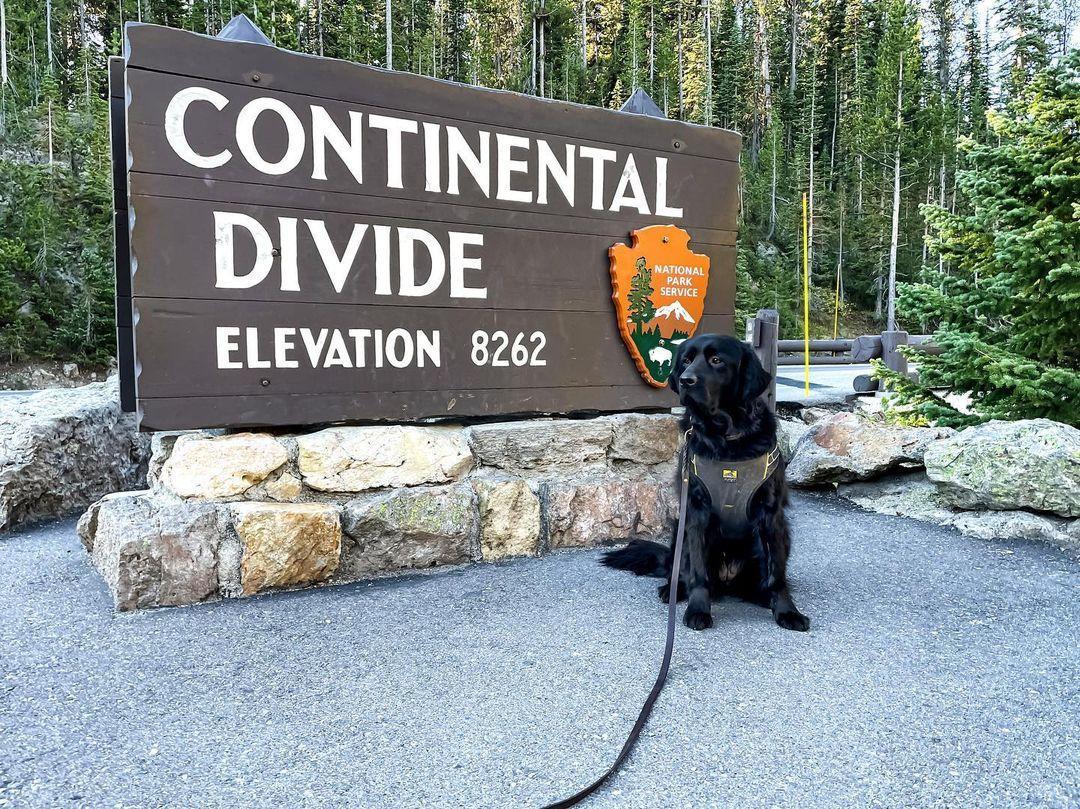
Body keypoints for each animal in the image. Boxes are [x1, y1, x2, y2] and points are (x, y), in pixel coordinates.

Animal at [600, 334, 812, 630]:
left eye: (716, 360)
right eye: (686, 360)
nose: (686, 380)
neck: (727, 439)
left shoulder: (771, 514)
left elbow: (776, 574)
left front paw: (787, 610)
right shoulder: (696, 512)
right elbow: (698, 574)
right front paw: (698, 609)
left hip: (783, 536)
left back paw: (761, 595)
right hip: (679, 533)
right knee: (680, 571)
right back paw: (673, 590)